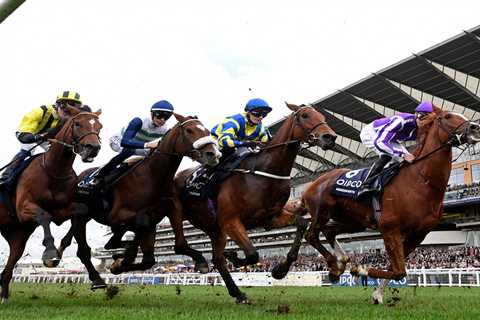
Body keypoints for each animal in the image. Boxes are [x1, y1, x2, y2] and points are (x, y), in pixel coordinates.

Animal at [0, 107, 102, 302]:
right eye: (78, 124)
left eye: (99, 126)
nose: (93, 148)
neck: (54, 171)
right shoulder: (24, 208)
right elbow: (44, 216)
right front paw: (50, 253)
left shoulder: (65, 210)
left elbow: (80, 216)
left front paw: (96, 278)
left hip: (18, 236)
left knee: (7, 270)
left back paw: (4, 298)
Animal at [58, 114, 221, 288]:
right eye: (189, 130)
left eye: (206, 130)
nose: (212, 154)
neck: (153, 176)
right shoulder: (120, 217)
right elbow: (135, 236)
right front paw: (120, 261)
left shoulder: (168, 211)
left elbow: (168, 250)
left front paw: (201, 261)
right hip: (81, 216)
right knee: (86, 249)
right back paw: (98, 277)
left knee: (113, 244)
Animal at [171, 103, 336, 302]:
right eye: (304, 115)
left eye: (323, 117)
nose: (330, 137)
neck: (264, 171)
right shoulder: (230, 221)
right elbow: (252, 253)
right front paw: (234, 256)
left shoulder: (270, 218)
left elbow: (302, 223)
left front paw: (280, 270)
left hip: (215, 229)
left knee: (217, 260)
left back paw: (237, 292)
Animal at [274, 106, 480, 304]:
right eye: (447, 117)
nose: (475, 128)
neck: (421, 180)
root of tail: (309, 187)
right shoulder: (389, 228)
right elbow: (399, 270)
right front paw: (361, 270)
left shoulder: (417, 235)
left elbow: (396, 268)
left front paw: (377, 293)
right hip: (322, 212)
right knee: (311, 234)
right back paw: (329, 267)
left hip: (353, 220)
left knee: (329, 231)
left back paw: (339, 263)